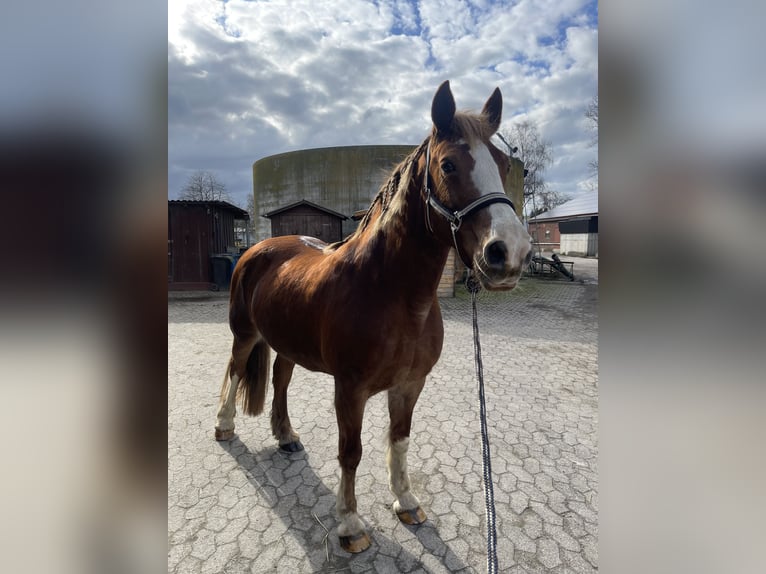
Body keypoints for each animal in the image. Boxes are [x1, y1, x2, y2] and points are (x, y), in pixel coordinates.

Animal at [213, 80, 532, 552]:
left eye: (504, 163)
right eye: (449, 164)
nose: (508, 253)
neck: (393, 296)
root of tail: (258, 248)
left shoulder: (410, 384)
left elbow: (399, 440)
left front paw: (406, 501)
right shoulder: (350, 389)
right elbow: (352, 451)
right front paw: (349, 523)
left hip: (285, 340)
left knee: (281, 379)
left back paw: (286, 436)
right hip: (245, 332)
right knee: (235, 370)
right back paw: (224, 425)